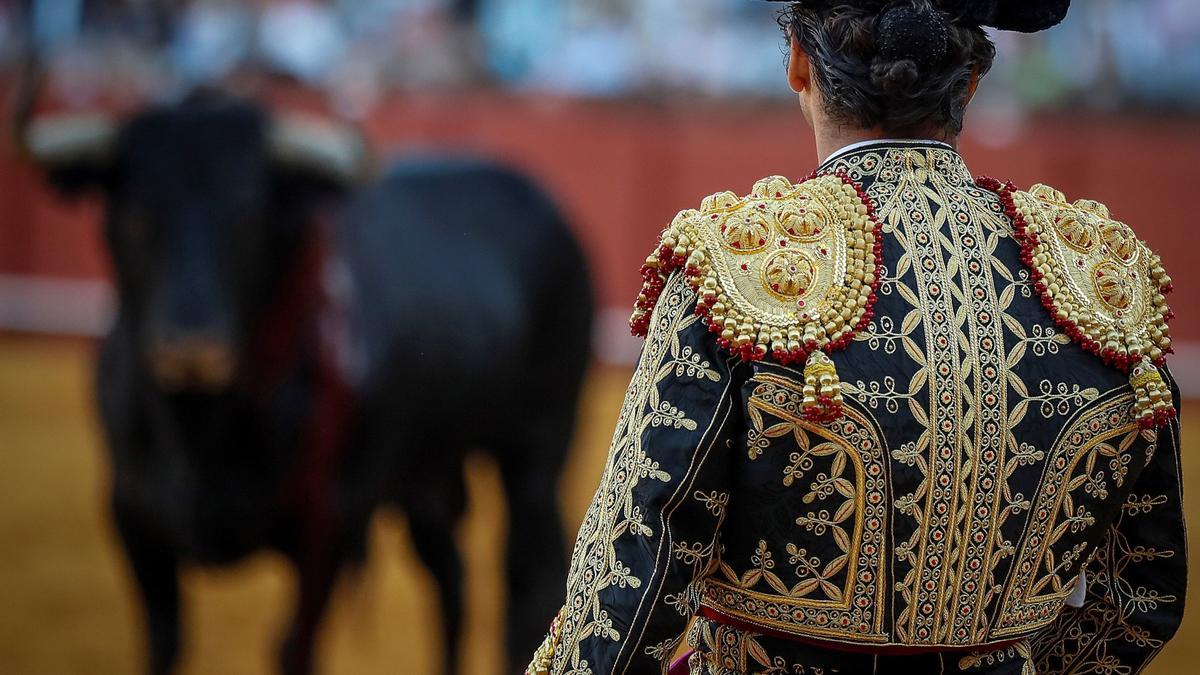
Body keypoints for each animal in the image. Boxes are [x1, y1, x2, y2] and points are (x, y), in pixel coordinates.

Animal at [27, 97, 590, 667]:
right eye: (137, 215)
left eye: (248, 216)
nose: (191, 346)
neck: (200, 428)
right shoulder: (131, 518)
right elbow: (165, 641)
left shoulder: (327, 527)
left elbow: (291, 646)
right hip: (425, 472)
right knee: (449, 574)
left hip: (537, 452)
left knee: (529, 574)